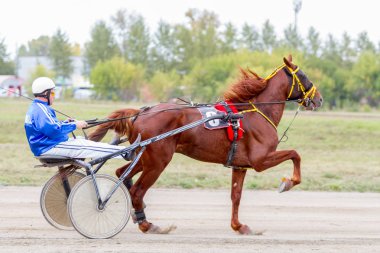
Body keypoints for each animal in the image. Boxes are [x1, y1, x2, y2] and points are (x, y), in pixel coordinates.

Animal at [89, 55, 324, 235]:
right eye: (304, 76)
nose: (319, 99)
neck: (255, 113)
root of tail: (141, 113)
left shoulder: (240, 165)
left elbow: (236, 196)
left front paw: (239, 226)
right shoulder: (260, 160)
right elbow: (295, 154)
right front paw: (288, 182)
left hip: (143, 156)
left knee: (122, 173)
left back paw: (138, 213)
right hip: (158, 161)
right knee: (138, 190)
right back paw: (147, 224)